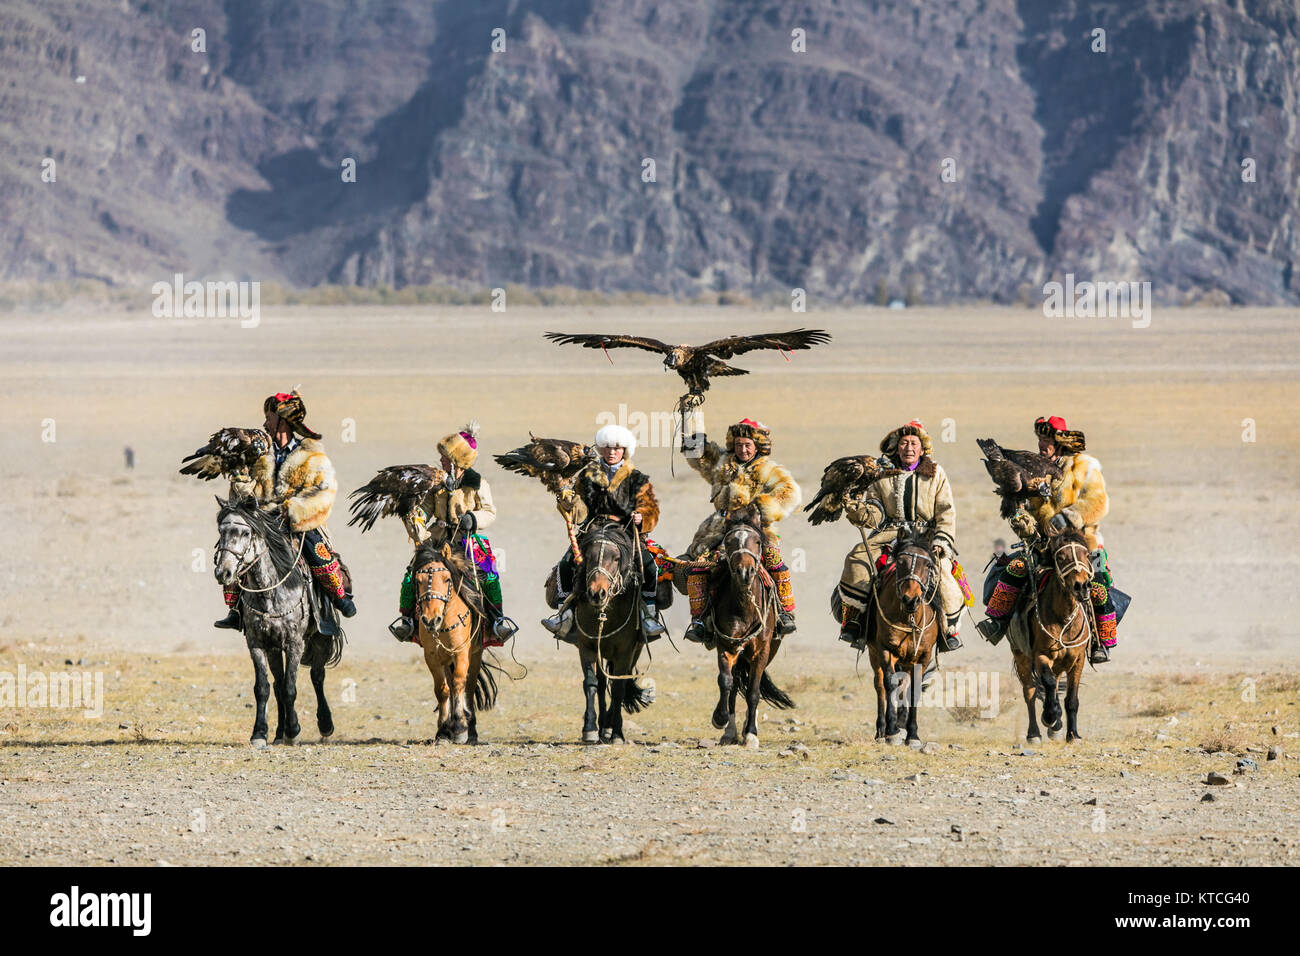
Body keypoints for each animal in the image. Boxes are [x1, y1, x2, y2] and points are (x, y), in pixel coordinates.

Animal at [210, 502, 340, 749]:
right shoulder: (258, 644)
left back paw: (325, 724)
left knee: (317, 677)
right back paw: (279, 733)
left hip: (320, 639)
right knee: (278, 685)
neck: (269, 593)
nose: (224, 573)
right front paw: (260, 733)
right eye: (221, 532)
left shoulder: (294, 643)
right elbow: (263, 688)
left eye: (246, 533)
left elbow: (291, 688)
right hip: (273, 649)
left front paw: (294, 731)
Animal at [416, 546, 496, 749]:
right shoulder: (432, 657)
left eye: (446, 579)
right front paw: (443, 731)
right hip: (446, 660)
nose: (431, 620)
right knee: (451, 687)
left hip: (475, 655)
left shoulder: (461, 652)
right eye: (418, 581)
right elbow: (442, 689)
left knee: (468, 686)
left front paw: (460, 727)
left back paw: (471, 730)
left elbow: (461, 683)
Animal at [707, 509, 795, 749]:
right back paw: (730, 731)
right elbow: (725, 681)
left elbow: (754, 692)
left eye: (757, 541)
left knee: (750, 687)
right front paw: (720, 719)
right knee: (736, 684)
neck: (744, 607)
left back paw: (748, 726)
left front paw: (751, 734)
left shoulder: (761, 651)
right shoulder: (726, 645)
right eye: (729, 542)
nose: (744, 572)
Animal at [868, 522, 941, 749]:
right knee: (880, 685)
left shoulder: (922, 656)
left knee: (903, 685)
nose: (911, 599)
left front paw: (912, 734)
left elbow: (914, 689)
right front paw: (891, 731)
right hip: (874, 653)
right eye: (901, 562)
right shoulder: (885, 650)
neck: (907, 617)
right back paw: (882, 730)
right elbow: (890, 684)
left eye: (927, 565)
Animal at [1003, 528, 1097, 743]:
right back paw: (1035, 733)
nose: (1082, 586)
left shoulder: (1078, 659)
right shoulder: (1041, 656)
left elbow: (1071, 698)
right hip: (1021, 656)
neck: (1063, 619)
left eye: (1087, 555)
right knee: (1030, 692)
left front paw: (1073, 734)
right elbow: (1048, 683)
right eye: (1060, 557)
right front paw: (1049, 717)